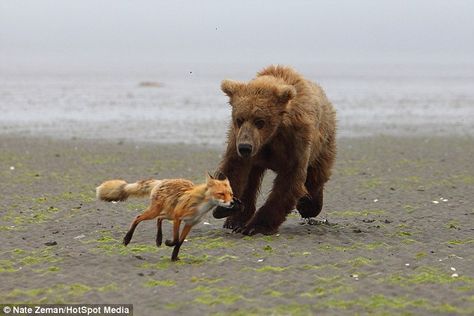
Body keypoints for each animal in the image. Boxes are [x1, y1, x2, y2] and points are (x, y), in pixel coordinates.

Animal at [96, 174, 237, 260]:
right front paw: (168, 243)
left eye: (230, 194)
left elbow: (180, 242)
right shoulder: (178, 218)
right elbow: (175, 239)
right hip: (156, 212)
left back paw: (158, 239)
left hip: (168, 214)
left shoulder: (189, 223)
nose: (232, 203)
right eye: (221, 194)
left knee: (159, 218)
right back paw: (127, 239)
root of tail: (162, 181)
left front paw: (174, 257)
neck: (200, 206)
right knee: (138, 217)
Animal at [215, 65, 336, 236]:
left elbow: (288, 182)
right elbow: (234, 169)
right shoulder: (238, 140)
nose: (245, 147)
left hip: (323, 143)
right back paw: (235, 221)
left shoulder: (295, 142)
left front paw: (256, 227)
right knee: (251, 181)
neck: (271, 137)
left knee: (317, 175)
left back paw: (308, 206)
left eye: (260, 121)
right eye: (239, 119)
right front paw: (226, 208)